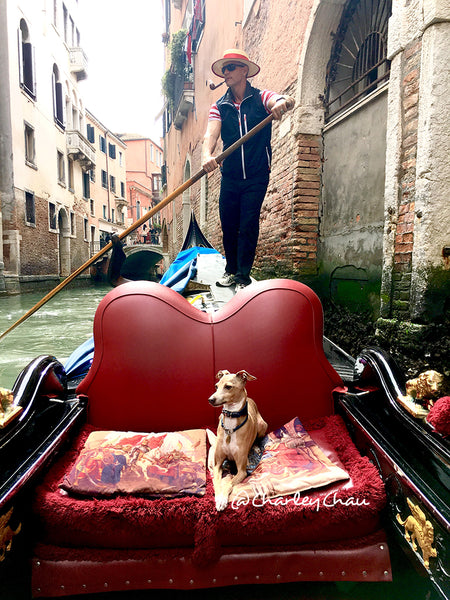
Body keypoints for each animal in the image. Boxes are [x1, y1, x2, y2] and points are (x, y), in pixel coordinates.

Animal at [208, 370, 268, 510]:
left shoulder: (241, 471)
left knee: (257, 438)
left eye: (228, 387)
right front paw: (218, 497)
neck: (230, 424)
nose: (210, 400)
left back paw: (256, 447)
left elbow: (229, 483)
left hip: (262, 425)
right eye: (216, 386)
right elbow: (217, 482)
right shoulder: (217, 464)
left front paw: (223, 499)